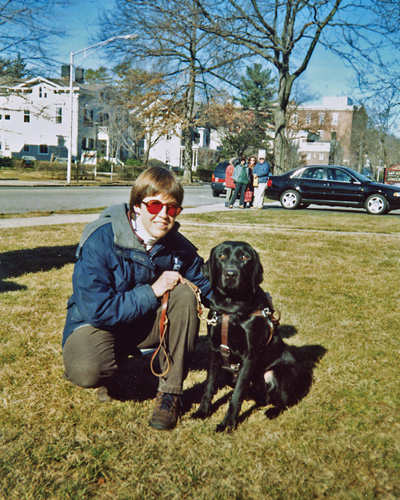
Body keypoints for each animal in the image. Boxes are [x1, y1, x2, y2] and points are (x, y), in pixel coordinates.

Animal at [192, 240, 308, 432]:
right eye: (221, 255)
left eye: (245, 257)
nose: (231, 274)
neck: (230, 307)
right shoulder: (215, 350)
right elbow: (208, 386)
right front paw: (202, 412)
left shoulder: (250, 355)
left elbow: (236, 395)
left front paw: (227, 424)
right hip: (230, 374)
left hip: (278, 374)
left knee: (287, 400)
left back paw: (273, 411)